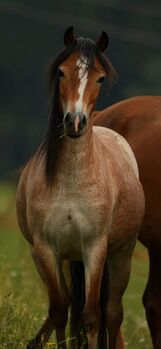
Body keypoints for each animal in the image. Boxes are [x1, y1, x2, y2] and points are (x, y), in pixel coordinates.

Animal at [16, 27, 145, 348]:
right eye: (61, 72)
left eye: (100, 78)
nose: (75, 122)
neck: (72, 181)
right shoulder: (46, 250)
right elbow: (59, 310)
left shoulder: (95, 249)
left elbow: (91, 316)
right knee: (67, 305)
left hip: (121, 256)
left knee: (112, 312)